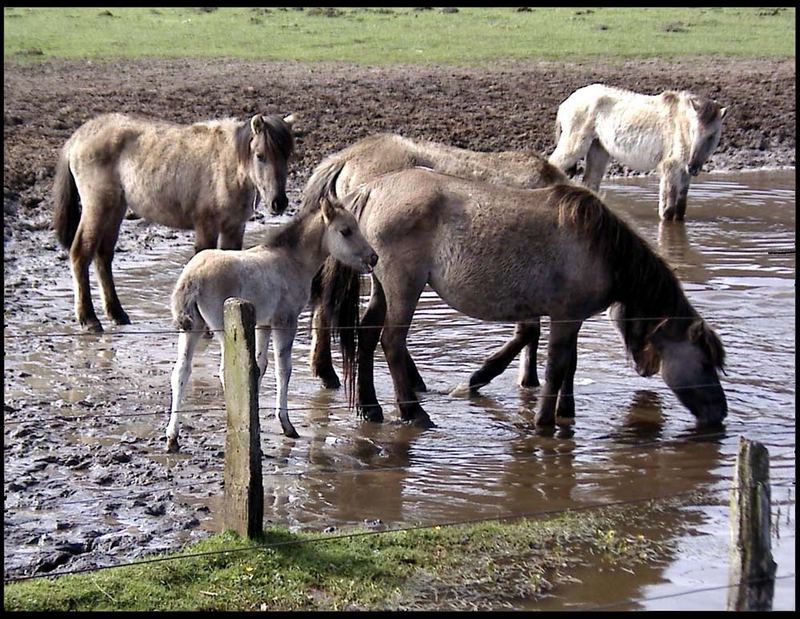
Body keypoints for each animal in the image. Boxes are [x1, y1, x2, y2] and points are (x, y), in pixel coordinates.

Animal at [54, 111, 296, 334]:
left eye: (287, 155)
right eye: (260, 155)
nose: (279, 202)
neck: (227, 165)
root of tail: (78, 136)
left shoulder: (233, 226)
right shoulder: (206, 224)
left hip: (115, 209)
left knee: (103, 257)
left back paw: (117, 314)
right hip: (97, 207)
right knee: (80, 254)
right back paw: (89, 319)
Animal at [165, 200, 378, 456]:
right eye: (345, 231)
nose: (373, 257)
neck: (292, 260)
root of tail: (191, 277)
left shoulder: (263, 324)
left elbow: (258, 367)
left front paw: (253, 419)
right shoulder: (284, 322)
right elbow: (283, 370)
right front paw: (286, 425)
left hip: (192, 327)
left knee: (181, 371)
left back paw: (172, 437)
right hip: (221, 330)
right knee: (224, 370)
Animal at [318, 170, 724, 432]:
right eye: (705, 361)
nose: (720, 413)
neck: (601, 247)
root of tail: (373, 189)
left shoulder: (571, 318)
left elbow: (569, 365)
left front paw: (566, 412)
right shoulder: (565, 316)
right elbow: (556, 367)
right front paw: (544, 422)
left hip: (383, 287)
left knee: (367, 335)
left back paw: (370, 409)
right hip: (404, 287)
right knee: (392, 342)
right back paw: (413, 413)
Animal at [548, 83, 728, 222]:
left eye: (712, 135)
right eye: (693, 131)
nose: (693, 167)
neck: (681, 124)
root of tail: (565, 103)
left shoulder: (684, 174)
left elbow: (680, 209)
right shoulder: (669, 168)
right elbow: (668, 211)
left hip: (598, 149)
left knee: (590, 183)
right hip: (575, 145)